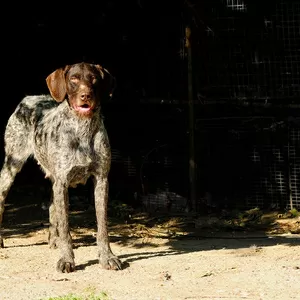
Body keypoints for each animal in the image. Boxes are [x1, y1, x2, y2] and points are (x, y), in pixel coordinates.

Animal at [0, 62, 122, 274]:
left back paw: (53, 239)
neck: (82, 129)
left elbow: (102, 227)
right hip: (11, 166)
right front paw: (67, 259)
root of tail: (28, 98)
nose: (85, 95)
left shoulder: (101, 181)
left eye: (93, 78)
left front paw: (107, 257)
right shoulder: (62, 182)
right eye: (73, 79)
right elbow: (66, 227)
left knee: (52, 208)